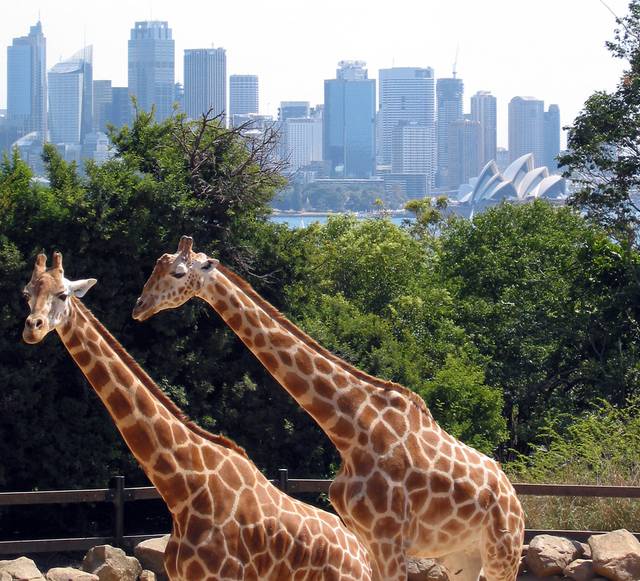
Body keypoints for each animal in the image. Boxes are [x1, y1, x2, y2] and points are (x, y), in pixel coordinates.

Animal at [134, 237, 524, 580]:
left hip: (503, 551)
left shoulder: (389, 539)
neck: (350, 430)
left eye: (178, 273)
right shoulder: (367, 539)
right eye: (156, 266)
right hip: (461, 555)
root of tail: (513, 497)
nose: (140, 306)